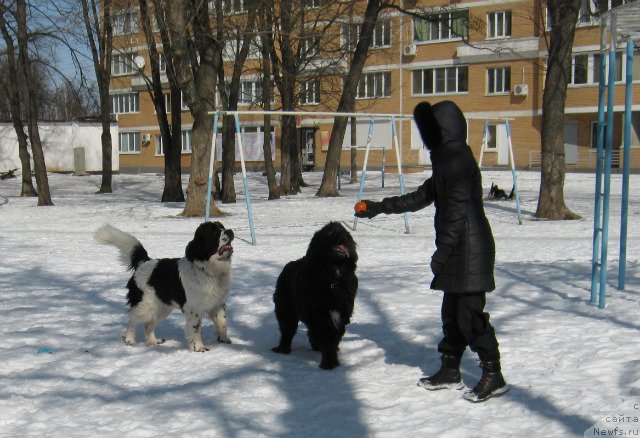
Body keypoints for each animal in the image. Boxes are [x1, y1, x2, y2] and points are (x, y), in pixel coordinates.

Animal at [94, 222, 234, 352]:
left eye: (222, 227)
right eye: (215, 233)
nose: (230, 231)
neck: (207, 269)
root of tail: (144, 262)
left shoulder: (218, 303)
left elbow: (223, 321)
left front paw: (223, 339)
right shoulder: (194, 309)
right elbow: (196, 329)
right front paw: (199, 347)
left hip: (162, 308)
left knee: (148, 324)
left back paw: (153, 341)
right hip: (146, 305)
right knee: (133, 319)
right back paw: (128, 339)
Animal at [272, 222, 358, 370]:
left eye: (345, 231)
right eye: (330, 232)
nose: (344, 235)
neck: (333, 276)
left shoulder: (340, 316)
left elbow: (333, 339)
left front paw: (331, 360)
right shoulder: (320, 315)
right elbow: (326, 338)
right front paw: (329, 364)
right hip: (286, 311)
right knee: (287, 332)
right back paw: (283, 349)